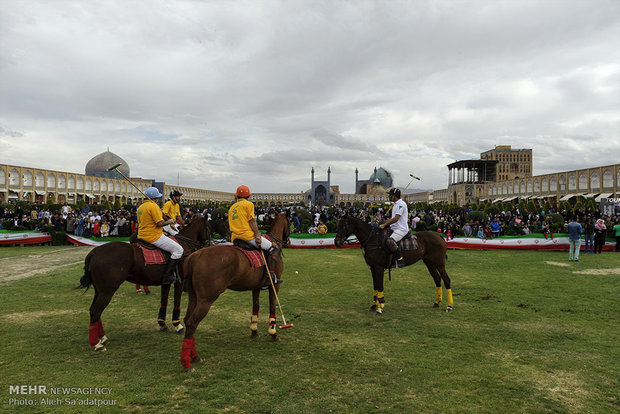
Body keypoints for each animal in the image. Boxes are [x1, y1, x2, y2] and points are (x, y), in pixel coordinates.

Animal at [76, 215, 208, 350]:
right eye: (209, 227)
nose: (208, 243)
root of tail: (93, 253)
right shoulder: (179, 282)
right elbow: (177, 302)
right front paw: (177, 325)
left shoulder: (166, 282)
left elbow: (164, 301)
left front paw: (162, 324)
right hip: (107, 290)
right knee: (96, 311)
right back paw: (97, 344)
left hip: (99, 290)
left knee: (94, 310)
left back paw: (103, 338)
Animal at [177, 213, 288, 372]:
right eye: (289, 222)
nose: (288, 240)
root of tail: (194, 257)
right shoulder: (275, 285)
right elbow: (273, 307)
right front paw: (273, 333)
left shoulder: (255, 287)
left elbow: (256, 307)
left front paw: (254, 331)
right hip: (206, 299)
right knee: (192, 323)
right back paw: (187, 363)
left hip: (194, 297)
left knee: (187, 320)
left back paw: (194, 356)